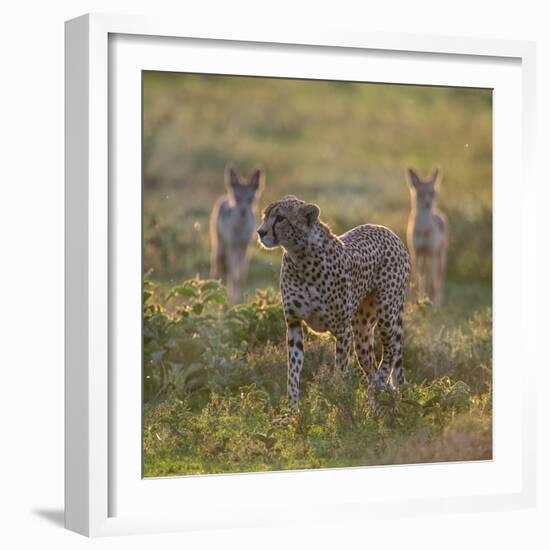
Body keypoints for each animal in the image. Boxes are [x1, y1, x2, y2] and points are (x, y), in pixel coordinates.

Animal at [258, 196, 410, 412]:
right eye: (265, 215)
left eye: (280, 218)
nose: (260, 232)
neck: (301, 256)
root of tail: (387, 231)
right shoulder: (294, 324)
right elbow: (293, 374)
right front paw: (291, 412)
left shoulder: (342, 330)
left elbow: (340, 372)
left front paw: (338, 403)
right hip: (362, 332)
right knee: (373, 366)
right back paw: (377, 406)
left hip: (387, 315)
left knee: (390, 353)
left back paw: (377, 389)